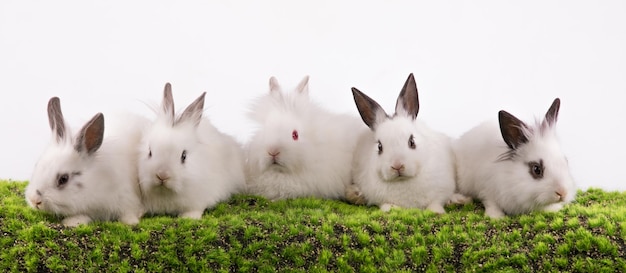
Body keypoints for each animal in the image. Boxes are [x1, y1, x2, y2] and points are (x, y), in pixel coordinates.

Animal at [25, 96, 147, 225]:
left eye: (63, 179)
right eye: (36, 165)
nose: (34, 200)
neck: (96, 181)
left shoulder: (126, 196)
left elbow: (129, 212)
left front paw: (132, 221)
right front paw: (72, 222)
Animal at [138, 82, 245, 218]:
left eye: (184, 156)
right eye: (150, 152)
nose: (162, 175)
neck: (165, 193)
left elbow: (195, 209)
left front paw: (189, 217)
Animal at [346, 74, 454, 212]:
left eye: (412, 141)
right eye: (379, 147)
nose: (397, 166)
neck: (402, 180)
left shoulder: (441, 191)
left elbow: (435, 203)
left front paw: (437, 212)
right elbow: (385, 205)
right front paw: (389, 209)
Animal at [448, 97, 576, 217]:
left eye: (566, 161)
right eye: (536, 169)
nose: (562, 193)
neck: (511, 176)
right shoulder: (486, 188)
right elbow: (490, 202)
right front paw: (496, 216)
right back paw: (460, 200)